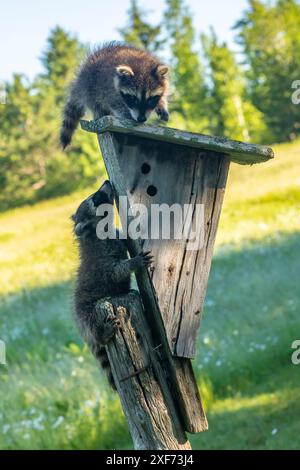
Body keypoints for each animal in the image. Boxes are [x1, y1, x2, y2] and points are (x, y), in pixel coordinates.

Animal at [72, 180, 152, 390]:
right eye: (96, 198)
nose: (106, 182)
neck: (97, 230)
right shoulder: (103, 260)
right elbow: (116, 272)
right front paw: (133, 262)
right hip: (88, 313)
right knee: (94, 323)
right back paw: (102, 333)